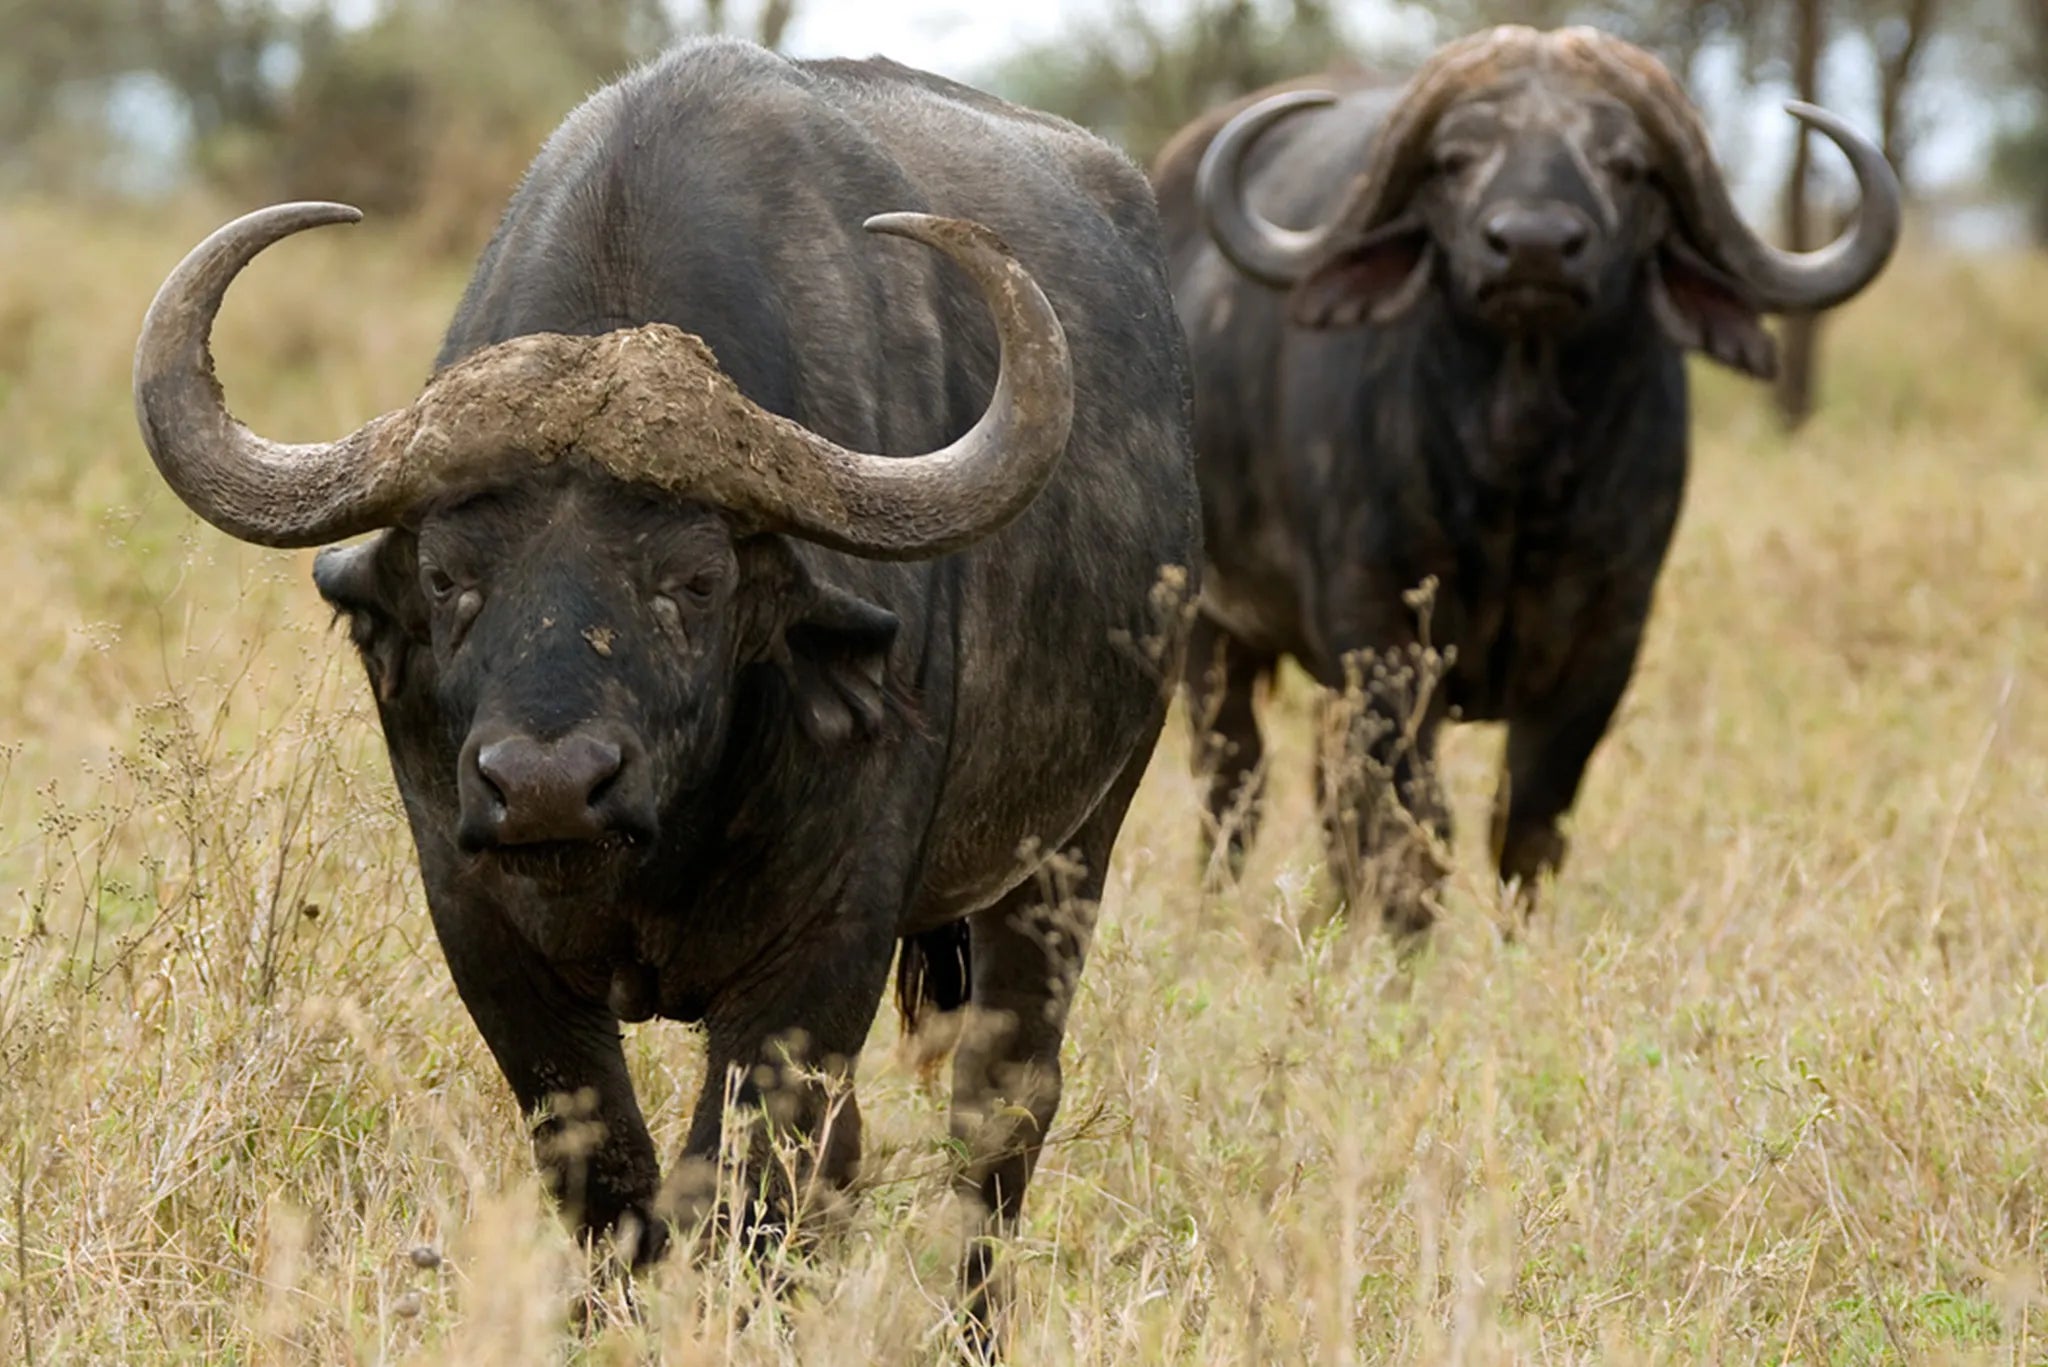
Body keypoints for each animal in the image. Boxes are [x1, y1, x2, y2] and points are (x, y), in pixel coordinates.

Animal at [133, 38, 1197, 1328]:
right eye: (446, 574)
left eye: (693, 579)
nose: (547, 784)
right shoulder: (483, 927)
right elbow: (609, 1176)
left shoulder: (820, 949)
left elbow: (744, 1188)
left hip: (1071, 845)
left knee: (999, 1113)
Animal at [1153, 26, 1898, 929]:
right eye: (1455, 158)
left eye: (1626, 164)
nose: (1535, 245)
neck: (1515, 472)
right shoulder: (1378, 633)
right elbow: (1414, 819)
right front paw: (1403, 941)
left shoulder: (1608, 641)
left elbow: (1531, 821)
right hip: (1207, 631)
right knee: (1236, 778)